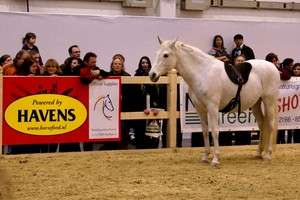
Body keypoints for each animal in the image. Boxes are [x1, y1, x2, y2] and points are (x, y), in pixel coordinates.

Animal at [149, 38, 280, 166]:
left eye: (166, 55)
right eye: (156, 54)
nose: (152, 74)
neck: (203, 73)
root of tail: (274, 67)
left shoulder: (212, 107)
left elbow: (215, 131)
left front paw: (215, 159)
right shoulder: (200, 109)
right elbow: (205, 132)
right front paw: (205, 157)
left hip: (268, 101)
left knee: (270, 125)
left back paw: (267, 155)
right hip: (256, 103)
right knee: (262, 124)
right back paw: (258, 153)